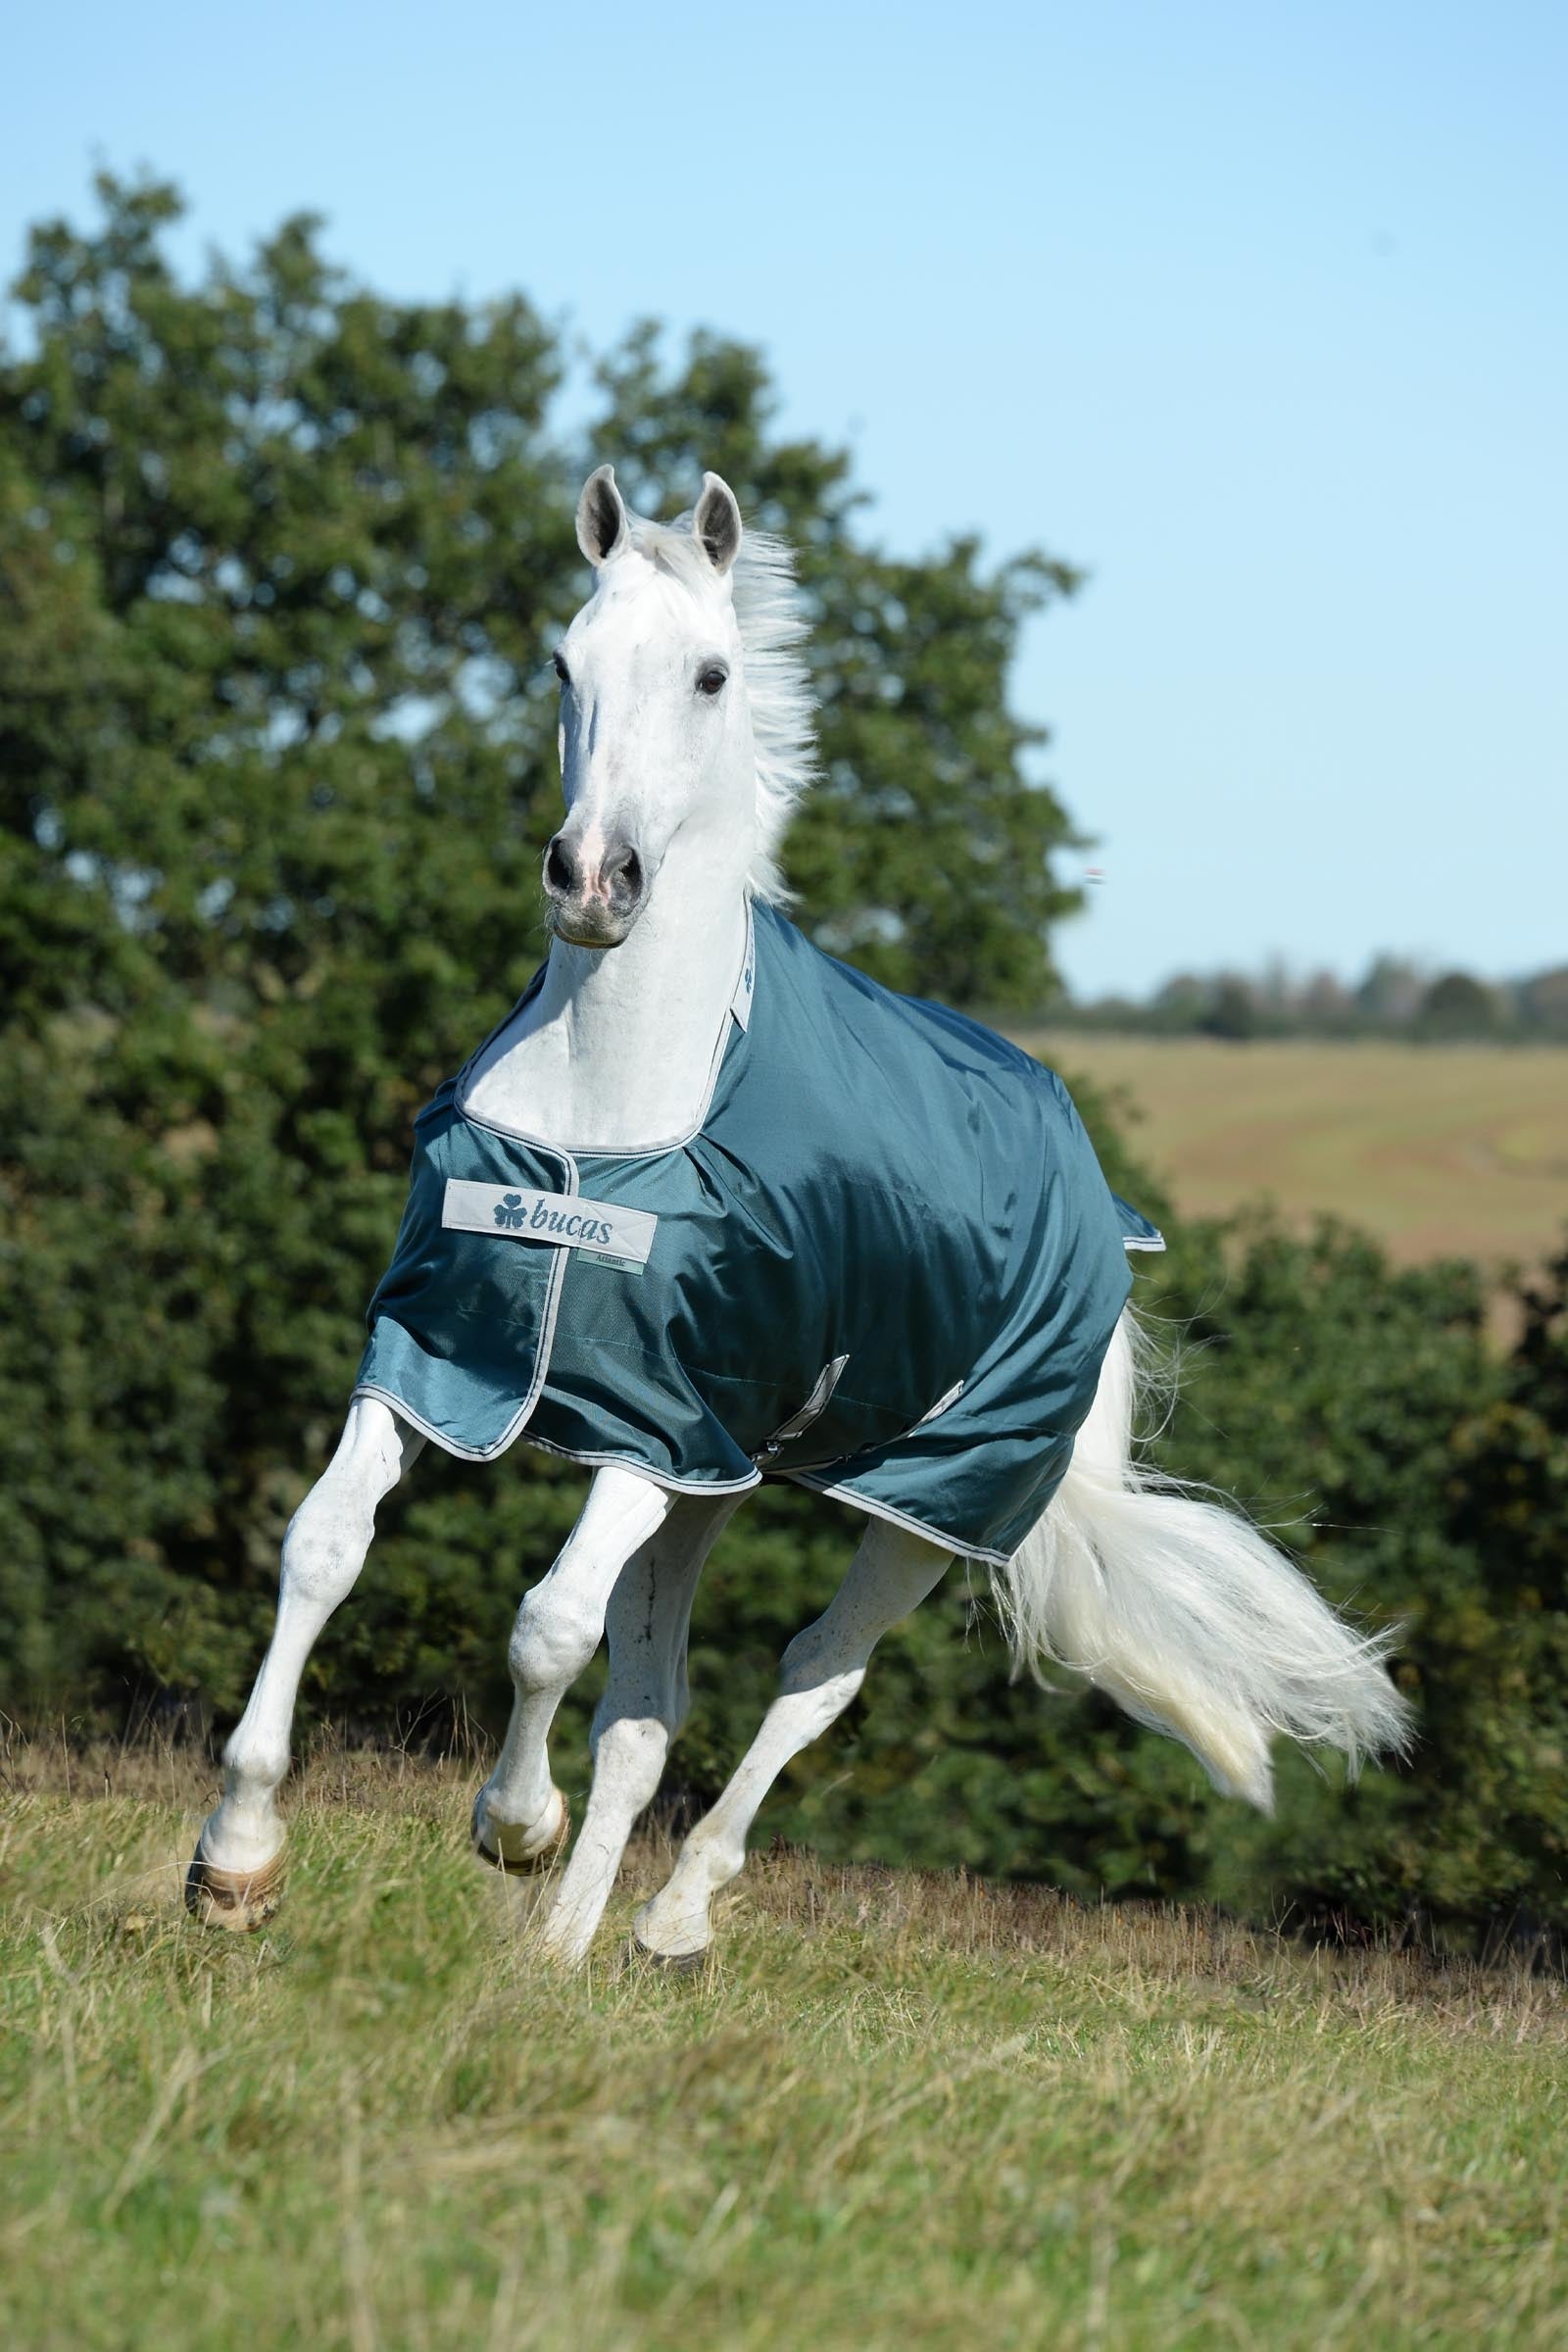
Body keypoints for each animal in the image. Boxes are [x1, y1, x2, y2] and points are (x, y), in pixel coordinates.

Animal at [187, 464, 1411, 1965]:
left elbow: (547, 1625)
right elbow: (323, 1549)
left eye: (711, 675)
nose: (591, 882)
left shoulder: (651, 1428)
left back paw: (670, 1917)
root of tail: (1092, 1195)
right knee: (648, 1710)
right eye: (563, 664)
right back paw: (563, 1951)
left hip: (925, 1504)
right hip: (723, 1485)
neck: (607, 1112)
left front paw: (510, 1825)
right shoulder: (446, 1365)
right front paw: (237, 1859)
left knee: (814, 1679)